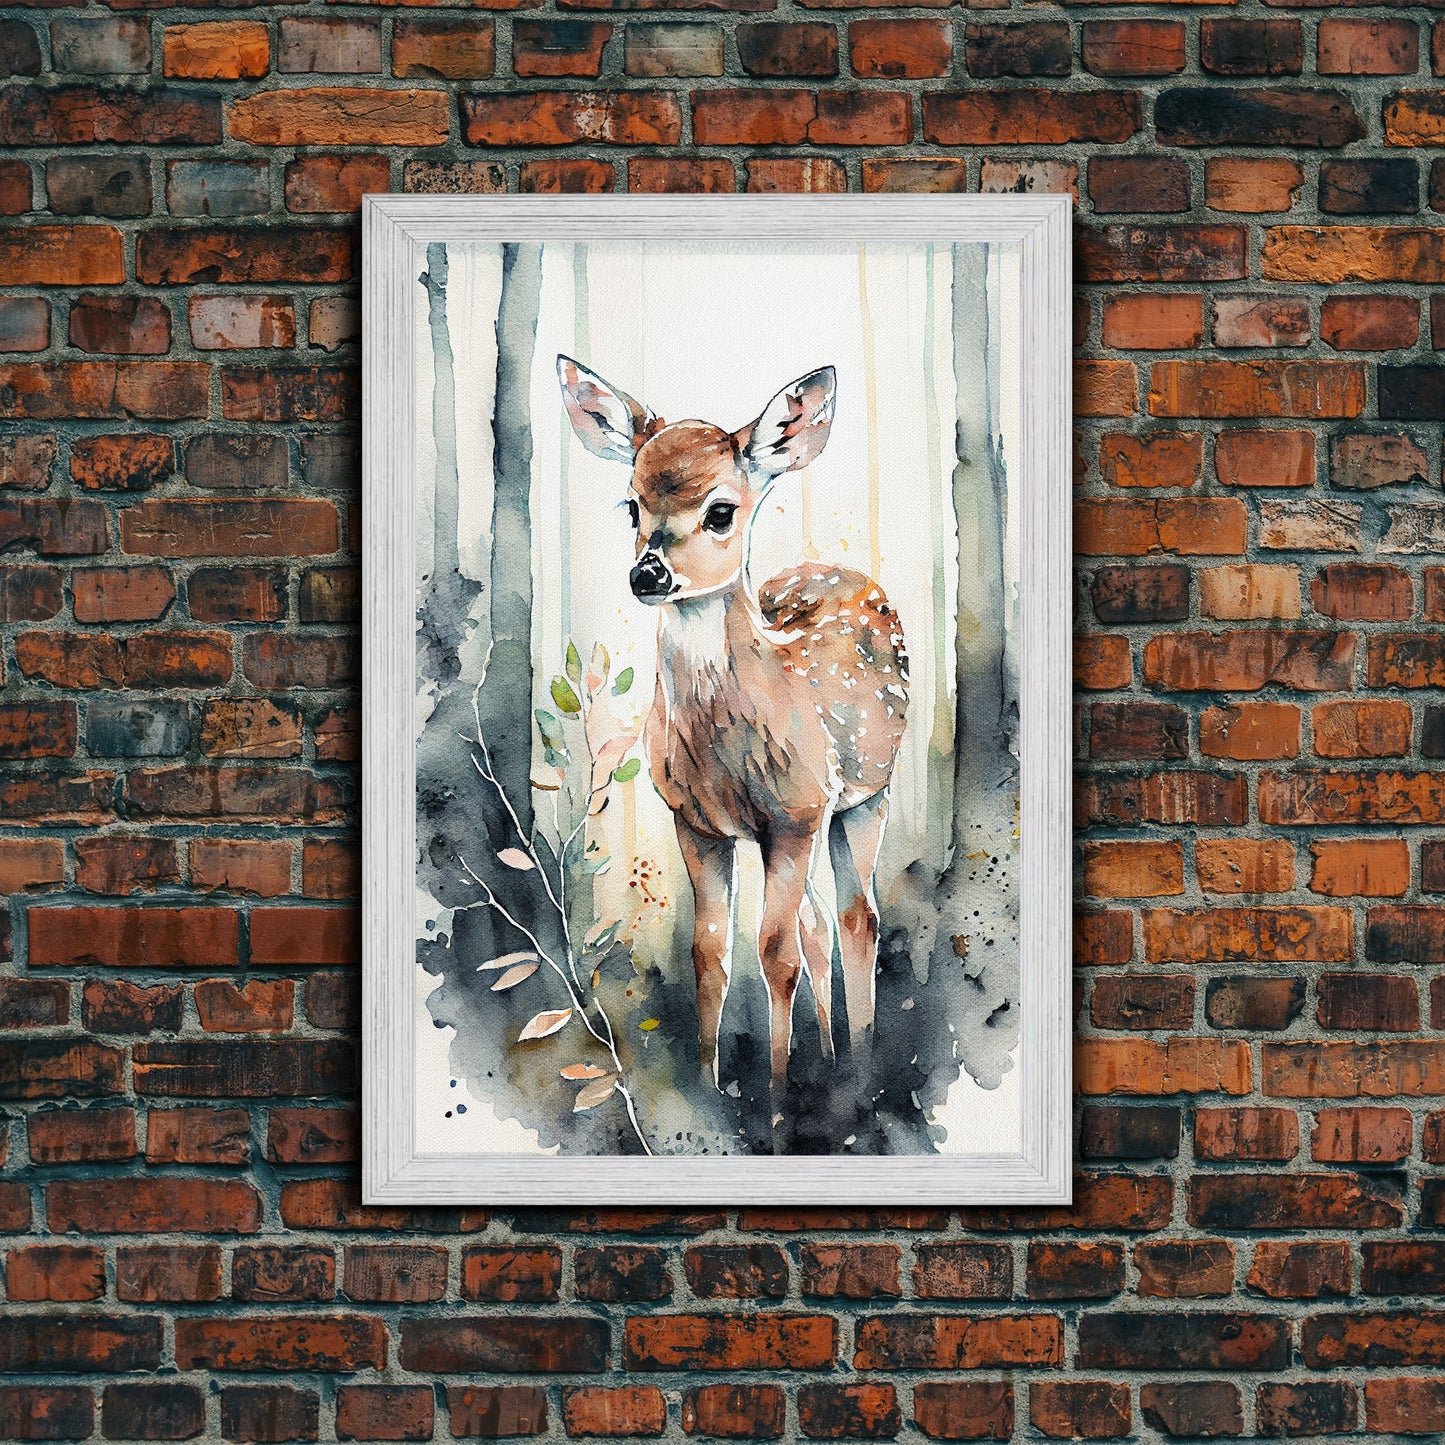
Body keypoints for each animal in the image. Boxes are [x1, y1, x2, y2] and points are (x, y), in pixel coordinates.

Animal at [558, 357, 909, 1107]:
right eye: (631, 506)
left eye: (720, 511)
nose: (647, 572)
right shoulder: (697, 821)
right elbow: (711, 952)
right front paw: (707, 1087)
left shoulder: (796, 811)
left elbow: (773, 953)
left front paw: (775, 1101)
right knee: (817, 923)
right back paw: (830, 1054)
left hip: (866, 795)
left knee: (855, 917)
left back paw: (859, 1066)